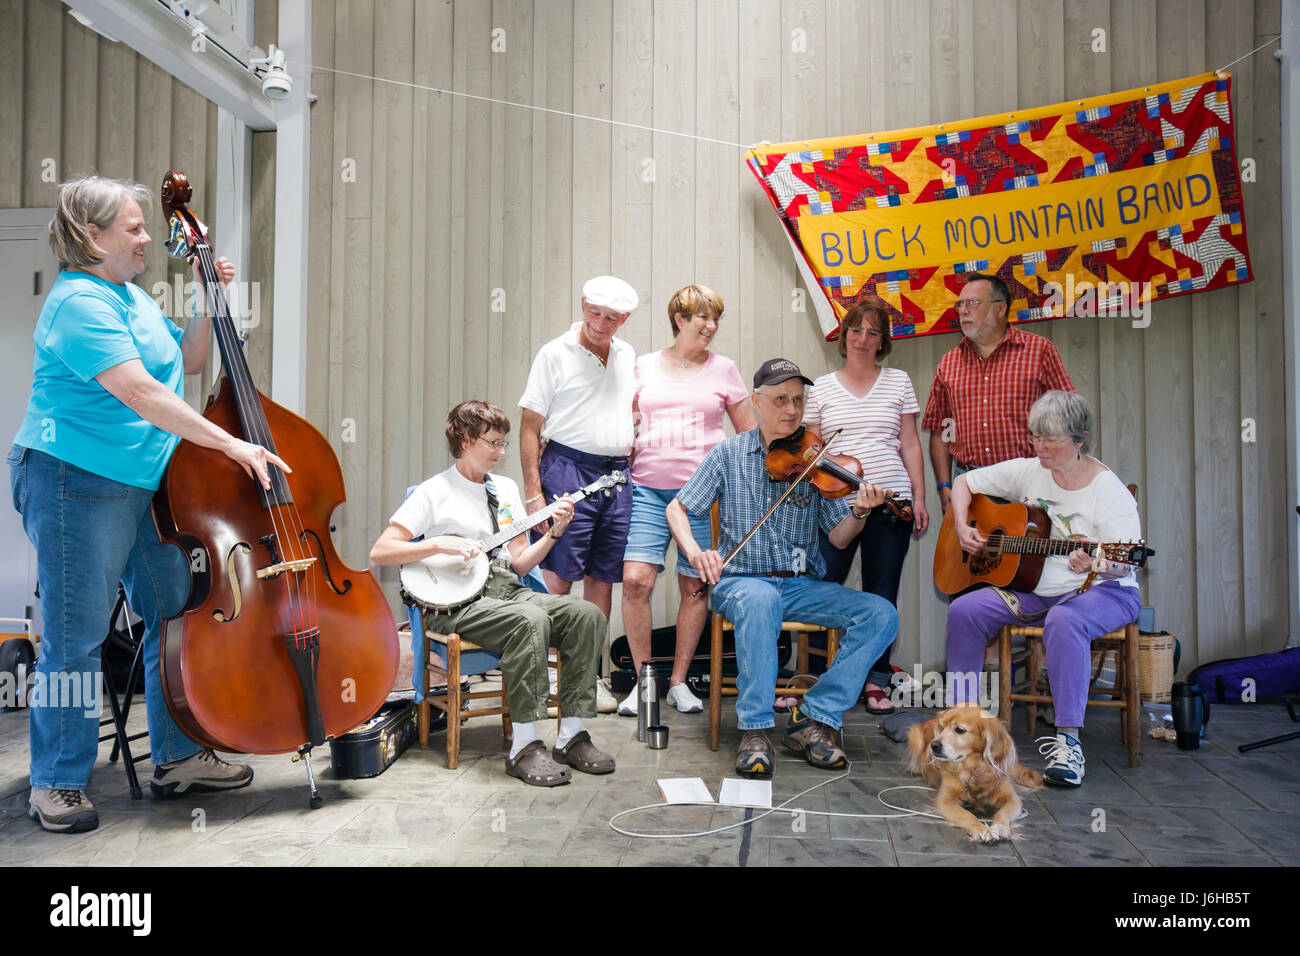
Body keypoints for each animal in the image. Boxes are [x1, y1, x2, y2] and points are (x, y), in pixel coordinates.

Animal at [909, 702, 1040, 842]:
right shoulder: (944, 801)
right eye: (942, 727)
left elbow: (1003, 813)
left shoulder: (1013, 799)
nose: (933, 745)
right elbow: (964, 814)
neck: (973, 768)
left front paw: (1000, 827)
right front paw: (980, 829)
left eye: (959, 730)